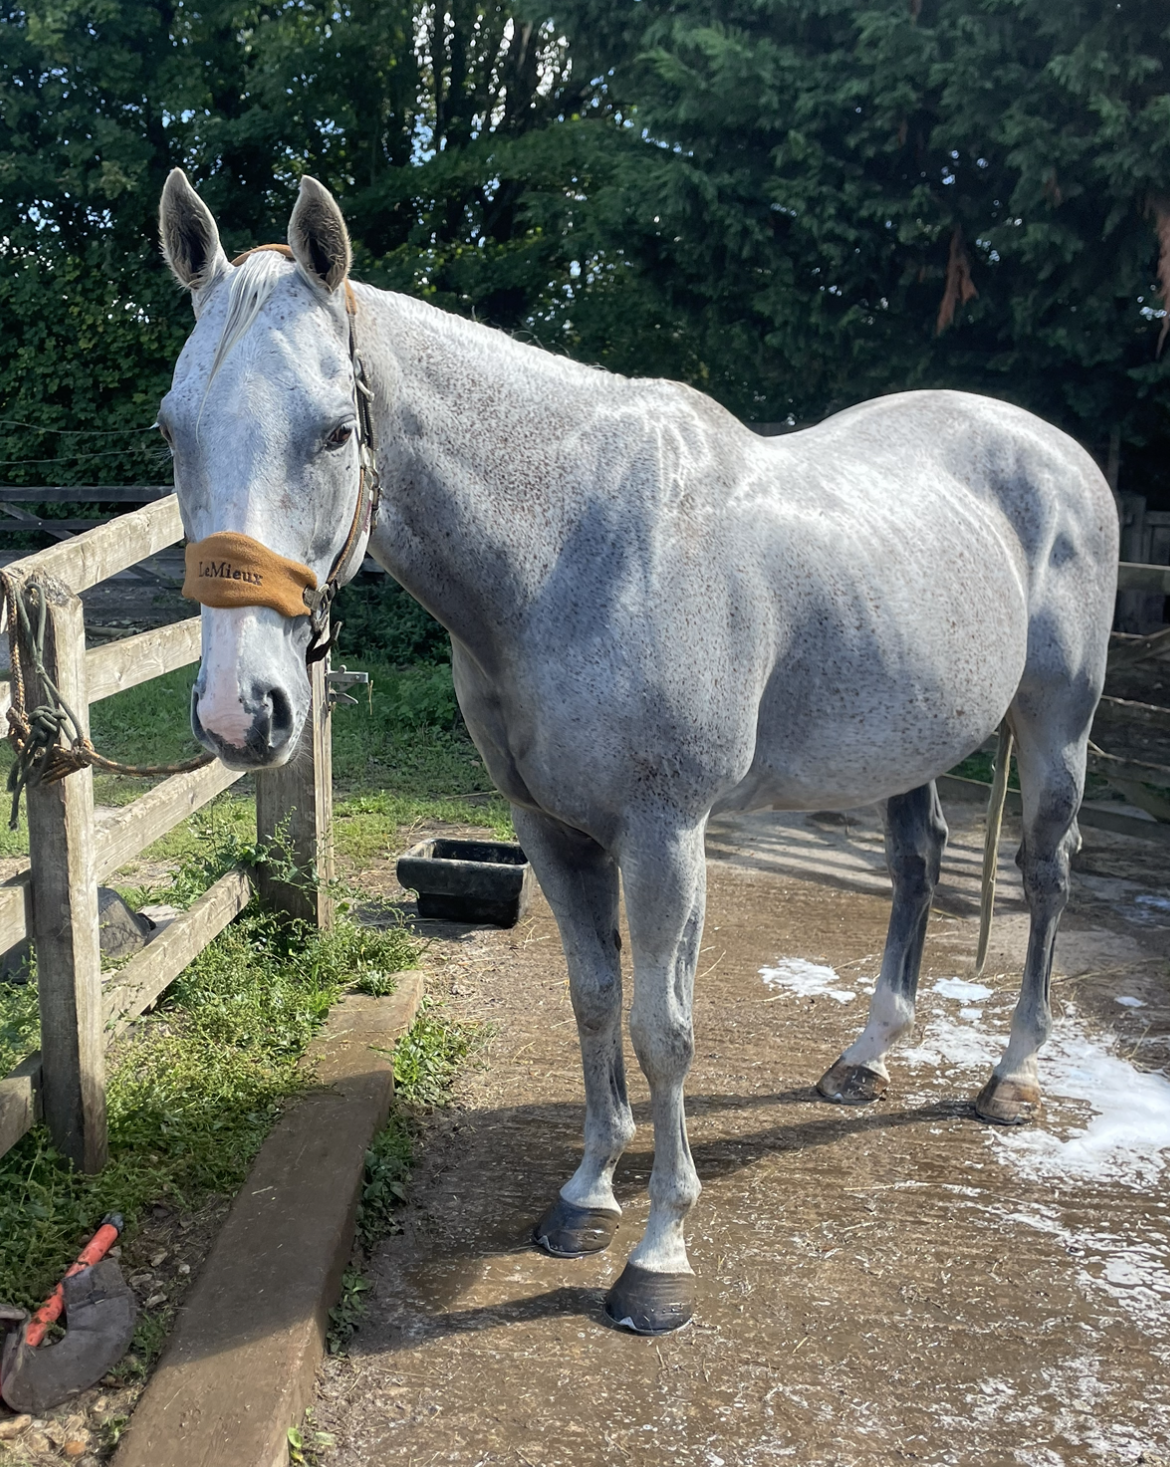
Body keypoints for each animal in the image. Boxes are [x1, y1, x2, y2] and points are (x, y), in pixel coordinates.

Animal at [156, 169, 1118, 1335]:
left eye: (337, 431)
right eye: (173, 428)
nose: (239, 713)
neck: (571, 549)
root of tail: (1056, 450)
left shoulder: (665, 837)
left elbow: (664, 1030)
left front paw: (660, 1258)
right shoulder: (552, 830)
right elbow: (593, 997)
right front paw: (584, 1198)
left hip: (1058, 724)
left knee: (1045, 876)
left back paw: (1012, 1078)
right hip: (909, 741)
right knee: (919, 863)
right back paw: (865, 1056)